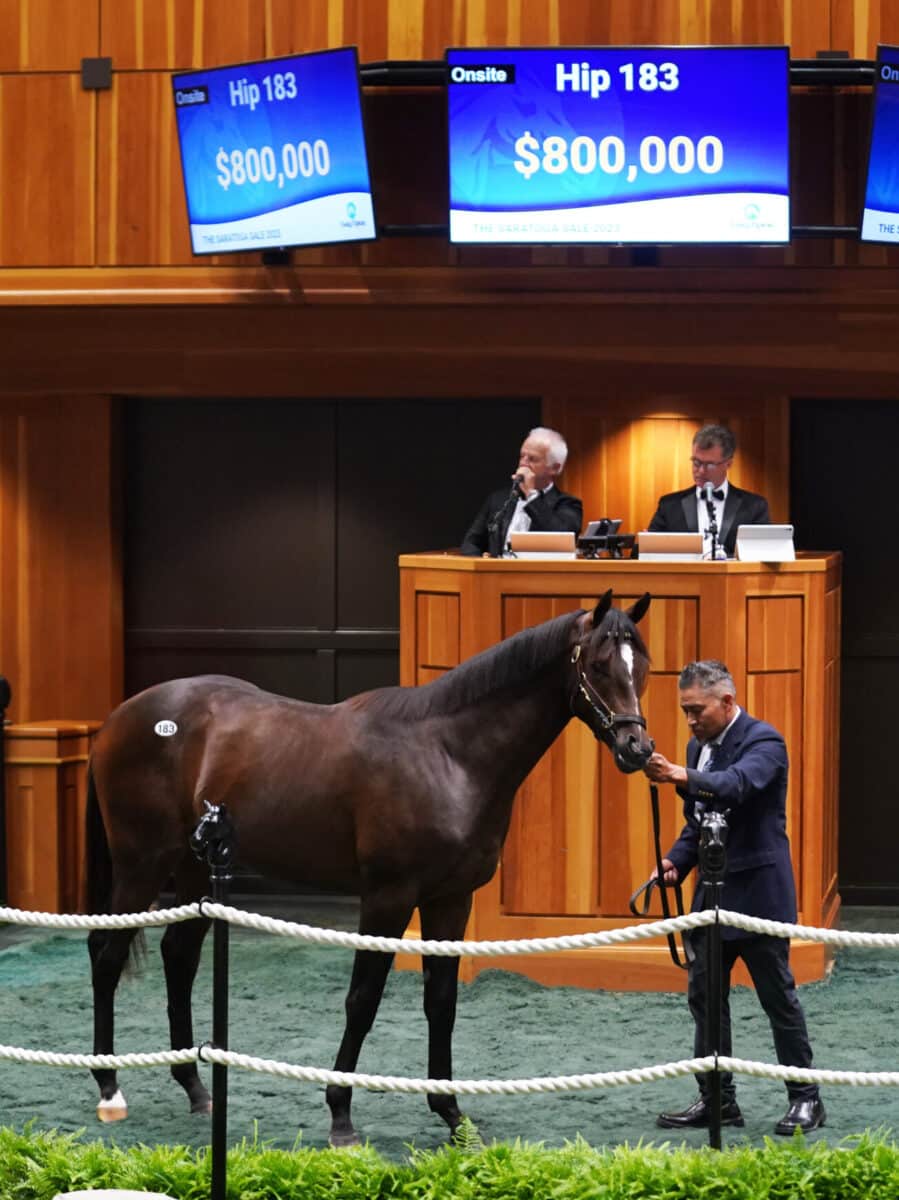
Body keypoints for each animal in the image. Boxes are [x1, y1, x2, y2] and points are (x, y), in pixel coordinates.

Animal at [85, 590, 652, 1142]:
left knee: (177, 957)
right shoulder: (388, 897)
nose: (638, 747)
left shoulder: (450, 899)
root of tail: (118, 718)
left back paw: (196, 1088)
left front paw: (451, 1113)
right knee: (106, 955)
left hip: (195, 871)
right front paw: (340, 1113)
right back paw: (109, 1086)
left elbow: (441, 1001)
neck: (448, 756)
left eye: (641, 667)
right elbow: (363, 998)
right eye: (599, 665)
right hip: (142, 863)